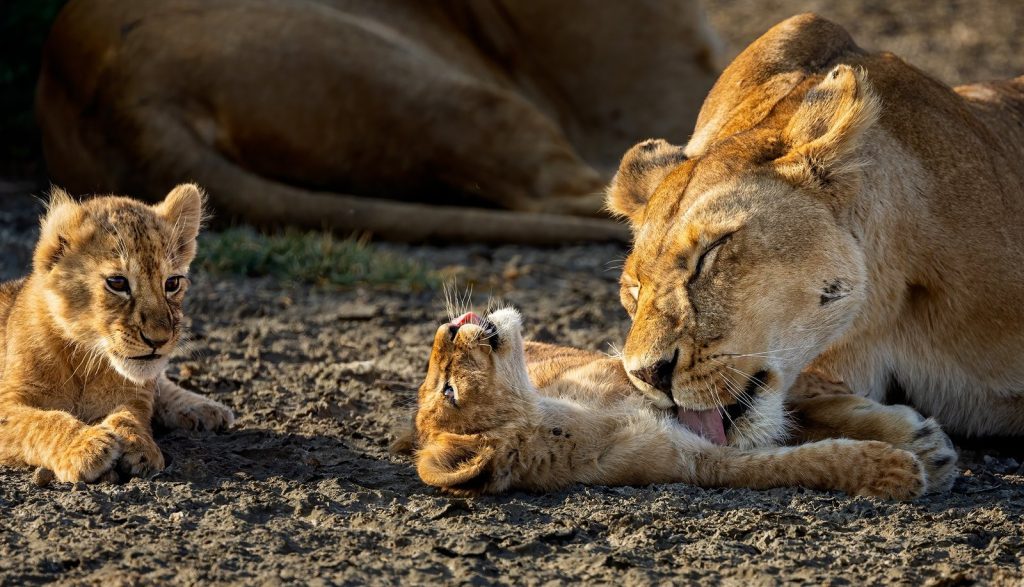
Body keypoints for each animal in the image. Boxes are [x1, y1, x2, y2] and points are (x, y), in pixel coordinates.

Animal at [0, 185, 234, 483]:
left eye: (172, 283)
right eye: (117, 283)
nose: (158, 339)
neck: (86, 363)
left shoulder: (134, 394)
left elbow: (130, 414)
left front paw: (139, 444)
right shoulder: (7, 402)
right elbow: (41, 421)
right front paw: (86, 446)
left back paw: (207, 409)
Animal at [399, 308, 956, 499]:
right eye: (448, 389)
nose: (446, 328)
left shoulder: (632, 375)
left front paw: (912, 451)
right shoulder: (698, 461)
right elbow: (803, 460)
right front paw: (892, 471)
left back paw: (923, 438)